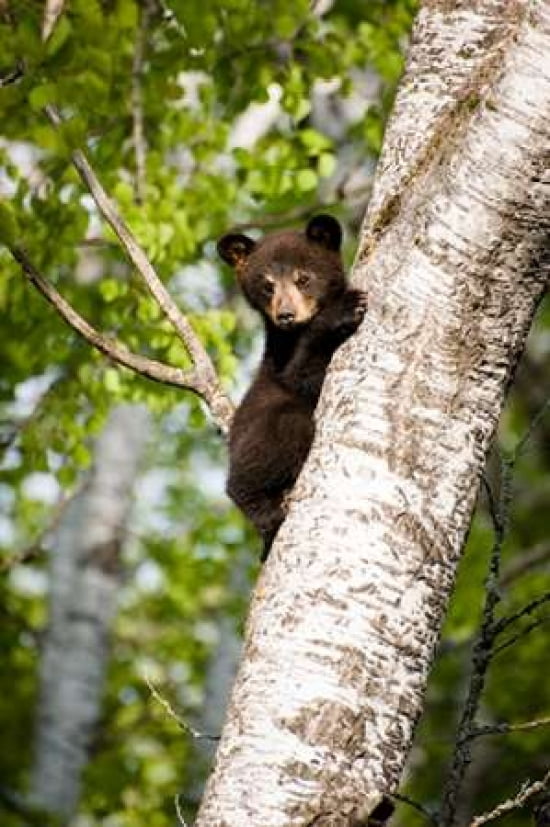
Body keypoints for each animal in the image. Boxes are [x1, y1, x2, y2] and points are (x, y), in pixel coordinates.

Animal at [217, 214, 367, 559]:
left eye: (303, 278)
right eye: (267, 284)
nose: (286, 315)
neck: (291, 334)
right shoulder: (280, 358)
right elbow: (304, 379)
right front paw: (343, 310)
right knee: (284, 431)